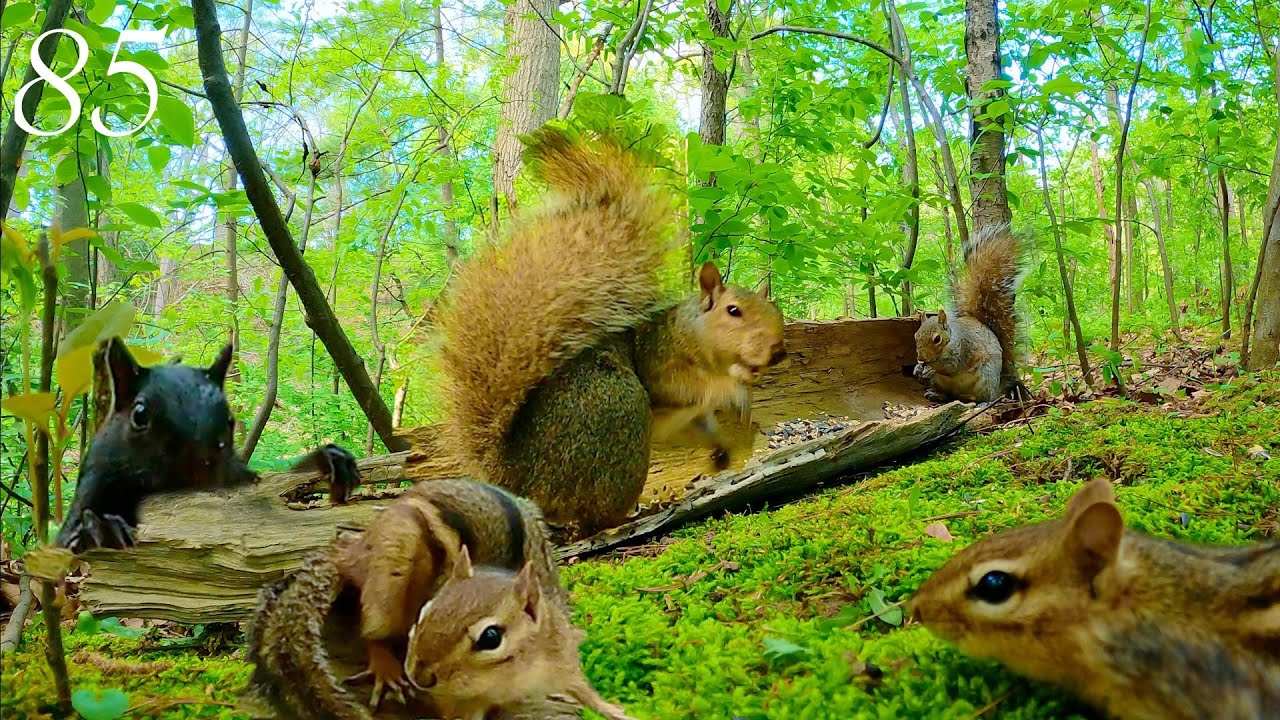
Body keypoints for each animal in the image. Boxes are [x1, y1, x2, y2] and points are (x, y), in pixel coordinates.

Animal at [247, 477, 565, 720]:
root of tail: (351, 551)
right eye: (425, 614)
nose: (420, 676)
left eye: (491, 638)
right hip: (393, 561)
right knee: (373, 628)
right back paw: (385, 669)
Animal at [403, 547, 635, 720]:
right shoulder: (461, 702)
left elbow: (586, 692)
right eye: (424, 611)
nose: (418, 677)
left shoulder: (563, 660)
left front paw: (615, 711)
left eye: (491, 637)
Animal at [437, 127, 787, 534]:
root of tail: (517, 478)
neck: (692, 337)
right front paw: (736, 390)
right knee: (595, 516)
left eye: (775, 309)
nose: (778, 350)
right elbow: (681, 388)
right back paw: (637, 511)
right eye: (733, 311)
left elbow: (700, 427)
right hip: (621, 407)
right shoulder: (659, 362)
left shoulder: (689, 418)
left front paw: (723, 445)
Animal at [913, 223, 1024, 403]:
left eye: (937, 339)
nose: (921, 358)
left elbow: (951, 366)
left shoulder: (962, 349)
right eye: (916, 336)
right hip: (941, 383)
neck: (950, 340)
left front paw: (930, 367)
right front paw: (917, 368)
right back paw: (936, 394)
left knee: (987, 397)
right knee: (950, 396)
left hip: (986, 378)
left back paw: (983, 403)